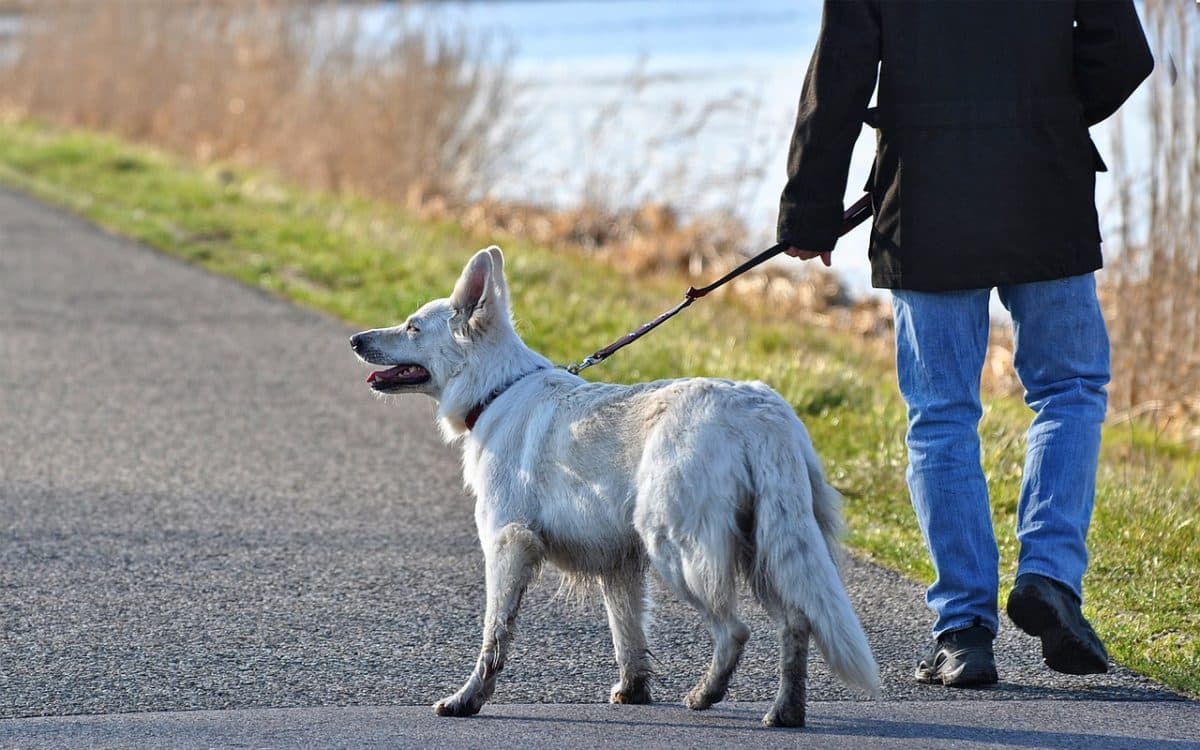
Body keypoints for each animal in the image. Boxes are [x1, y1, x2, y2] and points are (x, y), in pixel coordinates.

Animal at [350, 246, 878, 724]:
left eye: (412, 327)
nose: (355, 339)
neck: (496, 389)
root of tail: (760, 411)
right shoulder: (619, 564)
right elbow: (628, 635)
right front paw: (634, 691)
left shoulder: (507, 545)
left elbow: (494, 635)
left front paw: (468, 699)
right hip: (765, 549)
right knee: (796, 623)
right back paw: (785, 711)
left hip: (679, 550)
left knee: (735, 631)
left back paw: (706, 694)